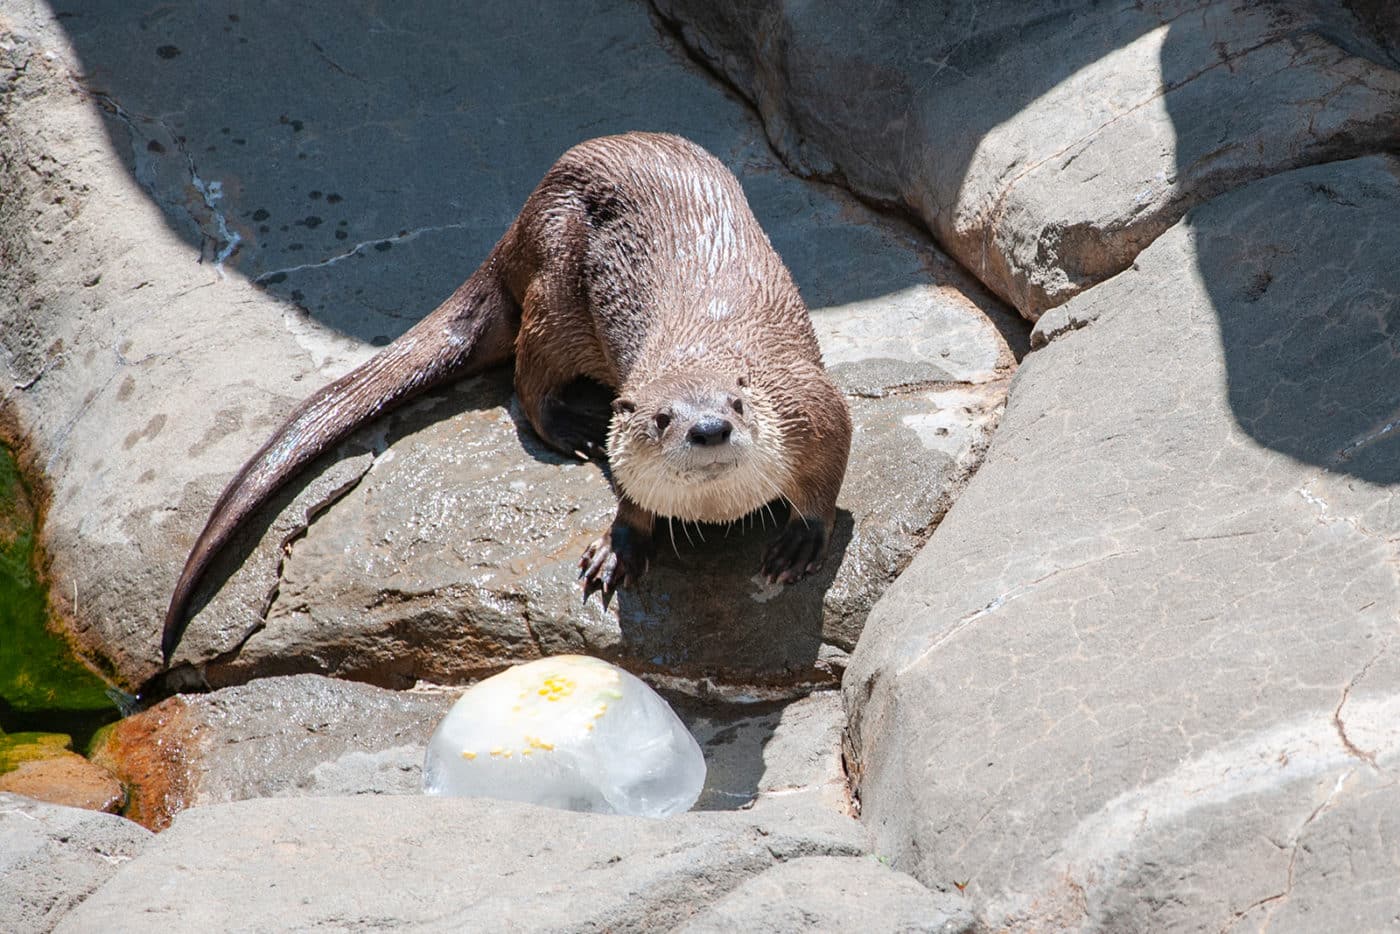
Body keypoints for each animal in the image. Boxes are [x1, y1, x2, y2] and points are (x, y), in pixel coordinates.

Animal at [158, 135, 845, 669]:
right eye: (662, 418)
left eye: (735, 404)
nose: (708, 429)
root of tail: (523, 214)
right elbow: (627, 494)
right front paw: (617, 547)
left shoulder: (810, 405)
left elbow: (830, 474)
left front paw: (800, 543)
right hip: (556, 286)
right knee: (527, 375)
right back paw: (574, 429)